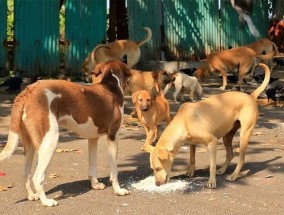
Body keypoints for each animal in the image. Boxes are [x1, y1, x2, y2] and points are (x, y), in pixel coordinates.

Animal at [0, 59, 131, 206]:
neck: (111, 84)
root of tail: (28, 91)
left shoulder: (92, 139)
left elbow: (92, 165)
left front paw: (95, 185)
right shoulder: (113, 137)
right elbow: (114, 171)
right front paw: (118, 190)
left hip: (30, 146)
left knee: (26, 173)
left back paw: (32, 196)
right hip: (50, 141)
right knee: (37, 177)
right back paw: (46, 201)